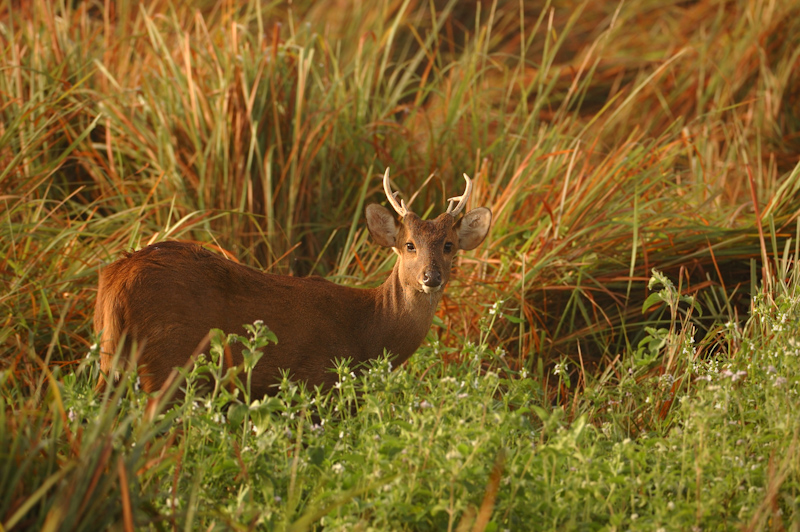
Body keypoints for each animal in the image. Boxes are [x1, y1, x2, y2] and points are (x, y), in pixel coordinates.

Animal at [96, 168, 490, 396]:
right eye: (409, 244)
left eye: (449, 245)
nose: (431, 277)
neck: (368, 332)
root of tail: (118, 277)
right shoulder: (319, 381)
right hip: (168, 363)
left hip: (113, 359)